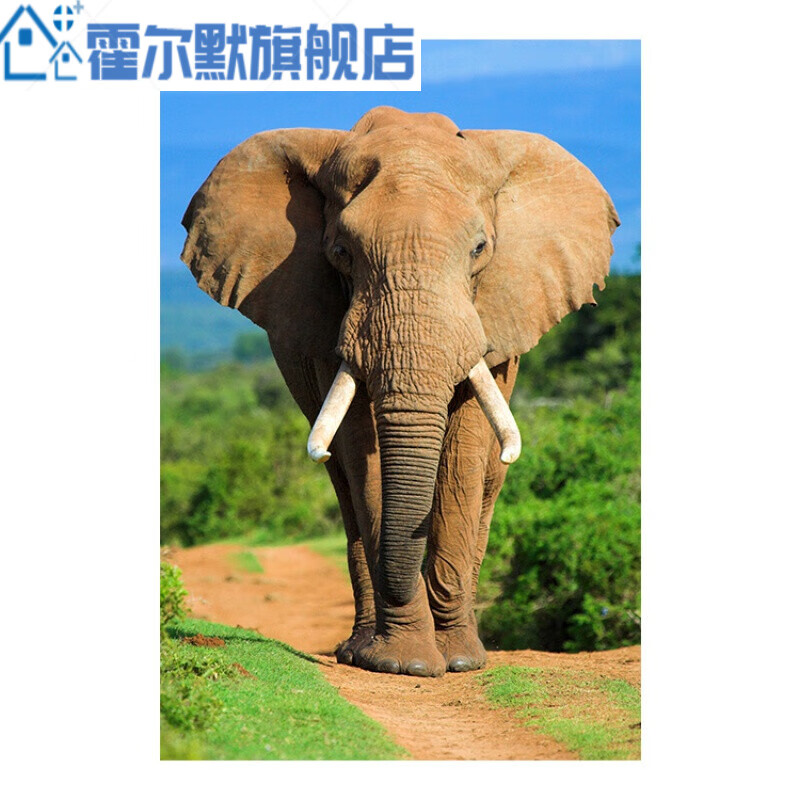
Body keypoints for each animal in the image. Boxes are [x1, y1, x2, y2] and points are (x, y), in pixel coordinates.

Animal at [180, 106, 618, 677]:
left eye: (480, 249)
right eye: (341, 253)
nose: (442, 656)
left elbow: (465, 450)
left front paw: (456, 660)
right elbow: (359, 450)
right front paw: (402, 663)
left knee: (487, 482)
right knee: (344, 485)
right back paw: (358, 651)